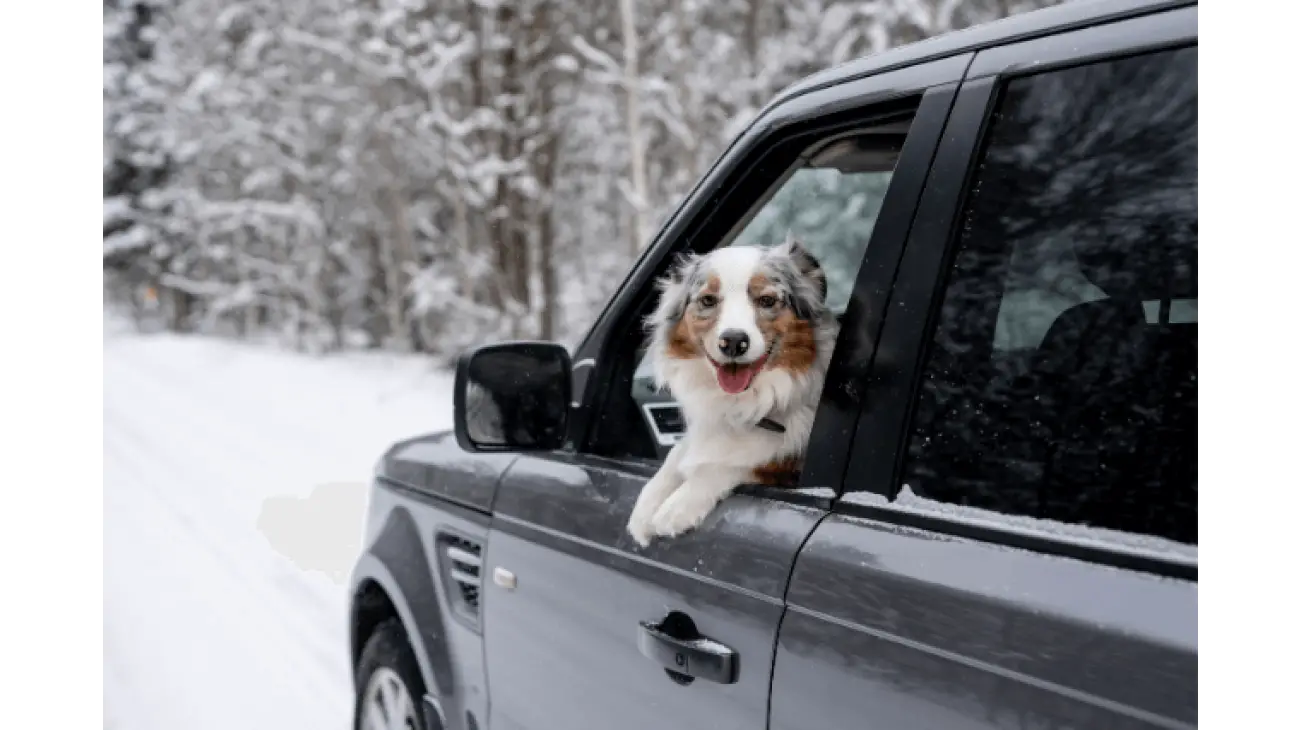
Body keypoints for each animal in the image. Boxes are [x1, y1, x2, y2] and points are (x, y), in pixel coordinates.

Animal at [624, 233, 837, 545]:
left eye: (767, 300)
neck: (745, 402)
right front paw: (645, 506)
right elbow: (677, 453)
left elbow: (733, 462)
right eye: (708, 300)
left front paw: (675, 507)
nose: (734, 341)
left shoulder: (788, 466)